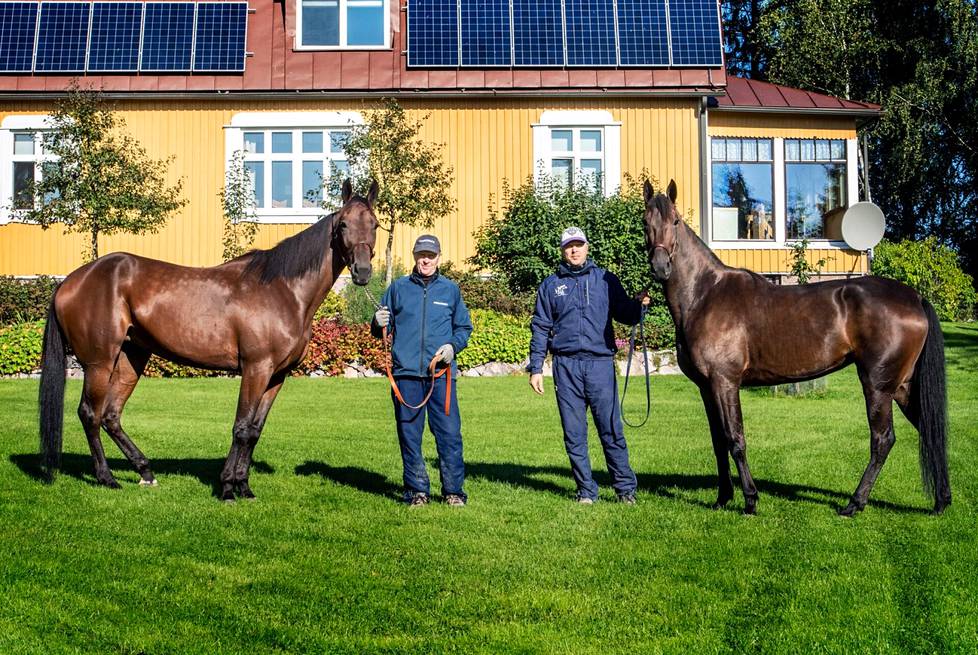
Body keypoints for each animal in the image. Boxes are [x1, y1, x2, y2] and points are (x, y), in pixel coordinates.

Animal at [38, 179, 376, 502]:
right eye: (343, 225)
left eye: (374, 224)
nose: (362, 271)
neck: (283, 290)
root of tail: (71, 281)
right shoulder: (256, 369)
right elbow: (241, 428)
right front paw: (227, 488)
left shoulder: (277, 375)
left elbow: (255, 430)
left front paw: (244, 487)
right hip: (99, 363)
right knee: (90, 414)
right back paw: (106, 478)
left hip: (131, 358)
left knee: (111, 415)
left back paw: (145, 471)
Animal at [640, 179, 944, 516]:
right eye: (645, 222)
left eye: (675, 222)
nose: (660, 267)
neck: (704, 295)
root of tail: (915, 297)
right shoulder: (706, 388)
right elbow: (718, 442)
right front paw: (722, 498)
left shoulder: (725, 382)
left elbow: (735, 439)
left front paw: (750, 500)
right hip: (902, 386)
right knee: (929, 430)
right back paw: (941, 502)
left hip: (878, 386)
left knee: (883, 440)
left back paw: (854, 504)